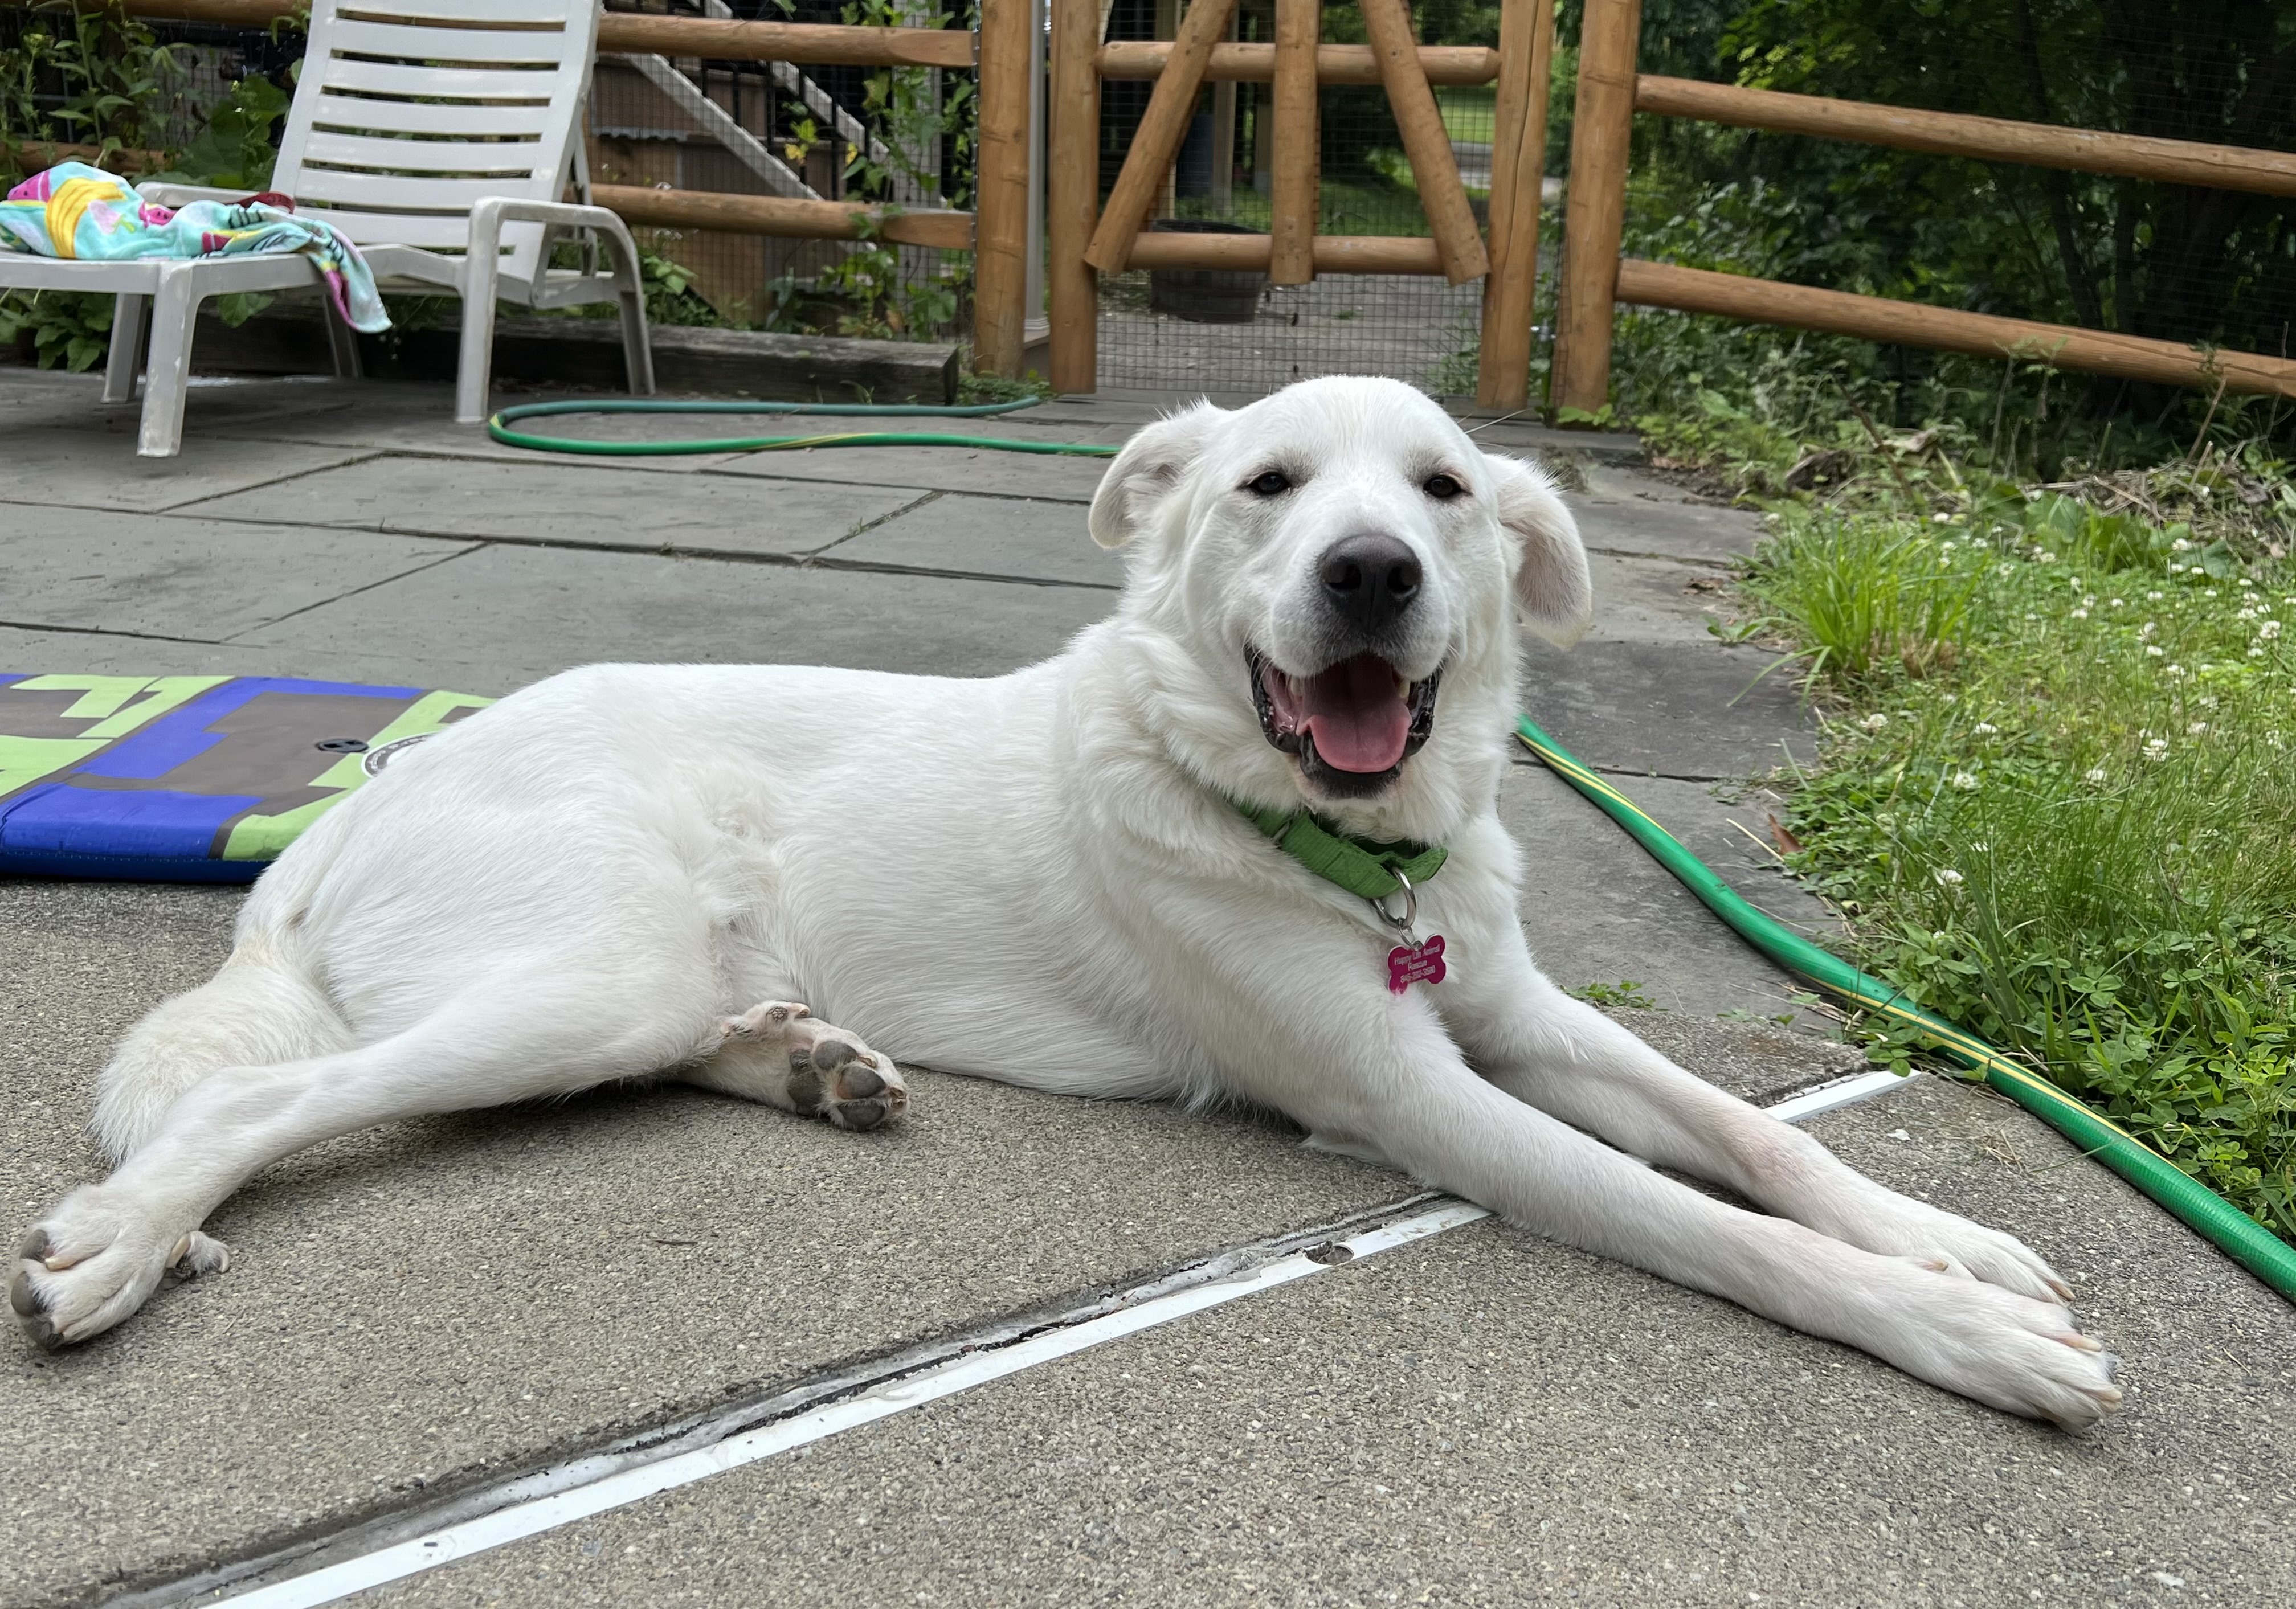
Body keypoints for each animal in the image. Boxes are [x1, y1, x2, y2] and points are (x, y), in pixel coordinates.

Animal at [9, 383, 2112, 1423]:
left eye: (1439, 491)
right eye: (1271, 486)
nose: (1369, 572)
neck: (1339, 848)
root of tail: (351, 810)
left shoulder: (1510, 1012)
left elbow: (1752, 1138)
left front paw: (1954, 1243)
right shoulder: (1417, 1099)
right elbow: (1716, 1226)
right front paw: (1963, 1336)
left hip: (631, 984)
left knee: (655, 1042)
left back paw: (812, 1063)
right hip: (591, 966)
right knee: (256, 1095)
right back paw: (122, 1241)